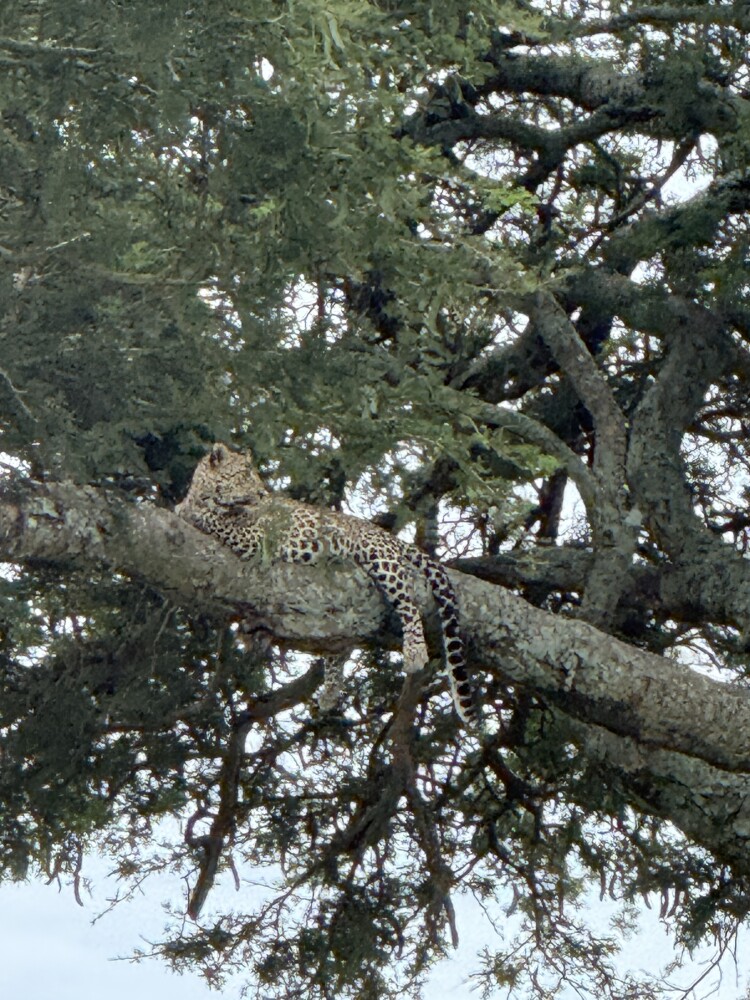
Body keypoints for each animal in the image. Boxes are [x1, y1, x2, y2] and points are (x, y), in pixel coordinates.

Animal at [175, 442, 477, 724]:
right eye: (242, 475)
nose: (262, 494)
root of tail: (388, 536)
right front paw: (186, 507)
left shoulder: (254, 537)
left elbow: (216, 520)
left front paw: (190, 511)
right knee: (341, 643)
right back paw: (331, 691)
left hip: (378, 556)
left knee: (407, 600)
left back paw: (415, 652)